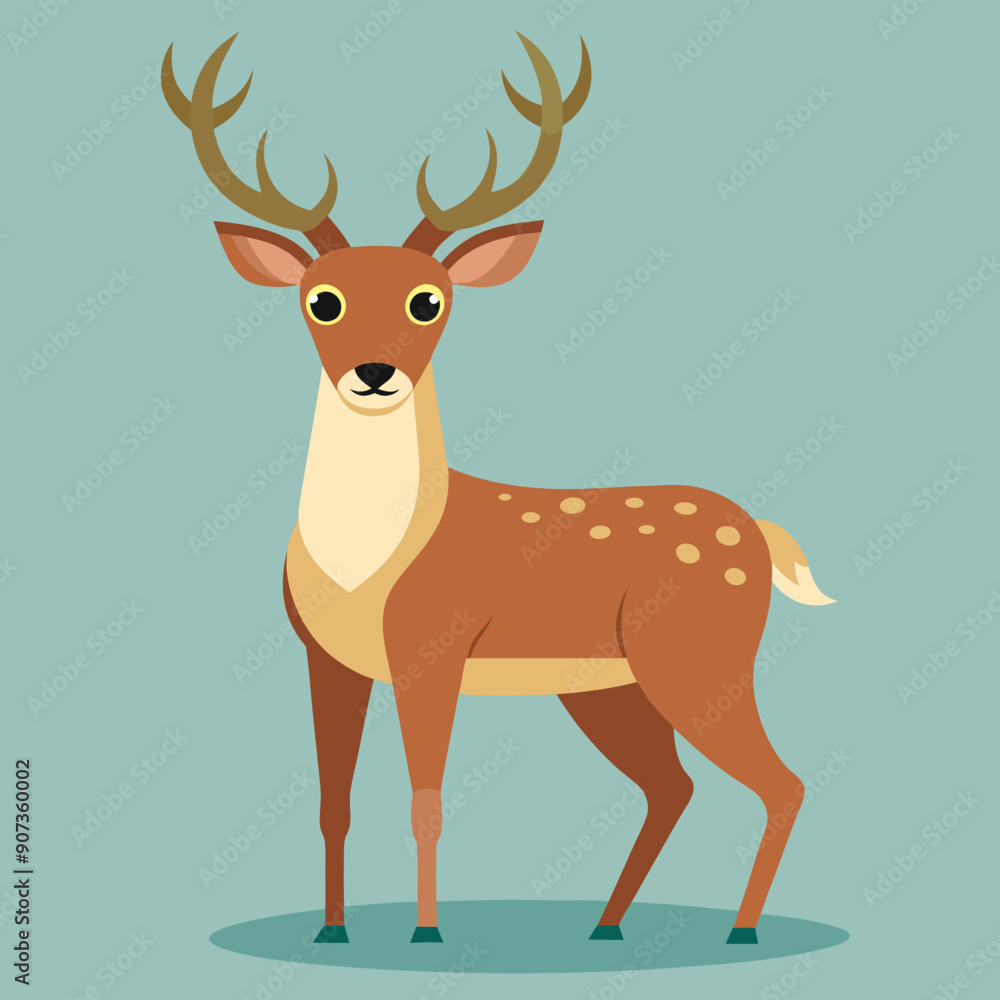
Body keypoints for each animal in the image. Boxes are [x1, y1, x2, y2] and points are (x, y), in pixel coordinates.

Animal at [163, 33, 835, 948]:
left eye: (428, 300)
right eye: (322, 300)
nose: (374, 373)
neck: (366, 565)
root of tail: (761, 536)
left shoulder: (433, 646)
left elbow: (427, 802)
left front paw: (425, 935)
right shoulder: (322, 656)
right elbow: (333, 802)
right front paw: (333, 930)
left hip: (701, 657)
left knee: (781, 781)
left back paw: (739, 930)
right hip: (608, 686)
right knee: (674, 787)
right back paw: (606, 925)